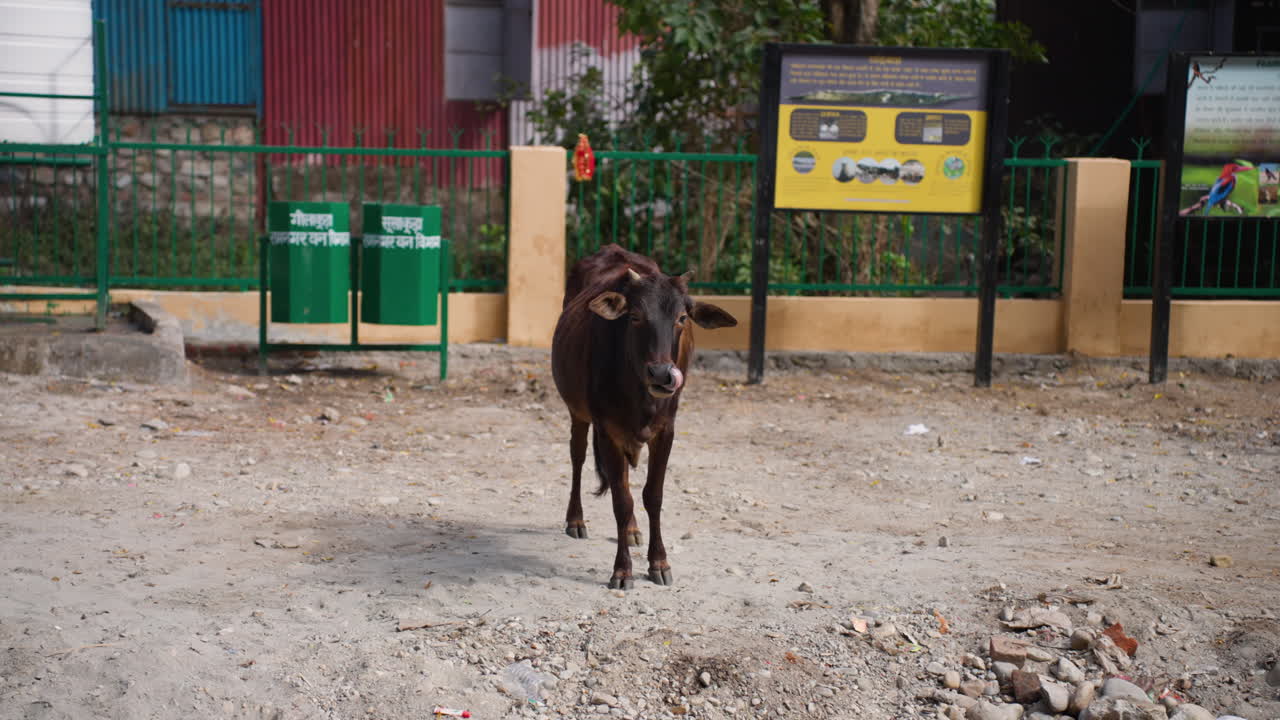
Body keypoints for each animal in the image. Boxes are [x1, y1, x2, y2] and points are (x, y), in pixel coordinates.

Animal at [551, 244, 737, 589]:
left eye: (681, 318)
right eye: (635, 316)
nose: (662, 374)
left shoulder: (666, 431)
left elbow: (653, 495)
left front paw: (659, 562)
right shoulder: (607, 430)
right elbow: (621, 500)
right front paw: (622, 570)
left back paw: (633, 530)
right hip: (578, 413)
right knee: (578, 457)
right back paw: (576, 519)